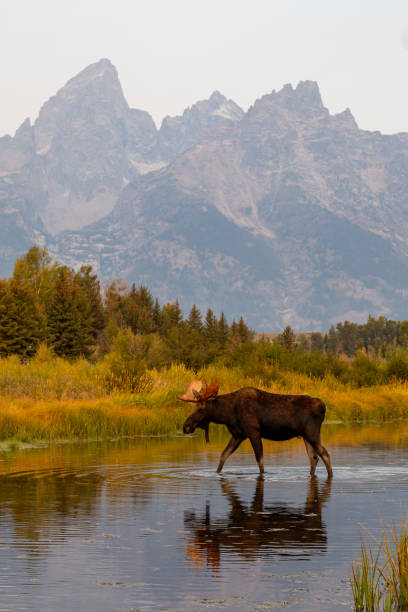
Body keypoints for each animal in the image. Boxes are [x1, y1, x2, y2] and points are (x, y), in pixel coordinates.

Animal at [178, 378, 332, 478]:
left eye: (200, 409)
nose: (186, 427)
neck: (228, 415)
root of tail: (323, 407)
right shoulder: (238, 435)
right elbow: (223, 456)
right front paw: (216, 473)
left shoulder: (254, 432)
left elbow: (260, 461)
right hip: (305, 436)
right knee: (313, 457)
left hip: (311, 432)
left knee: (324, 453)